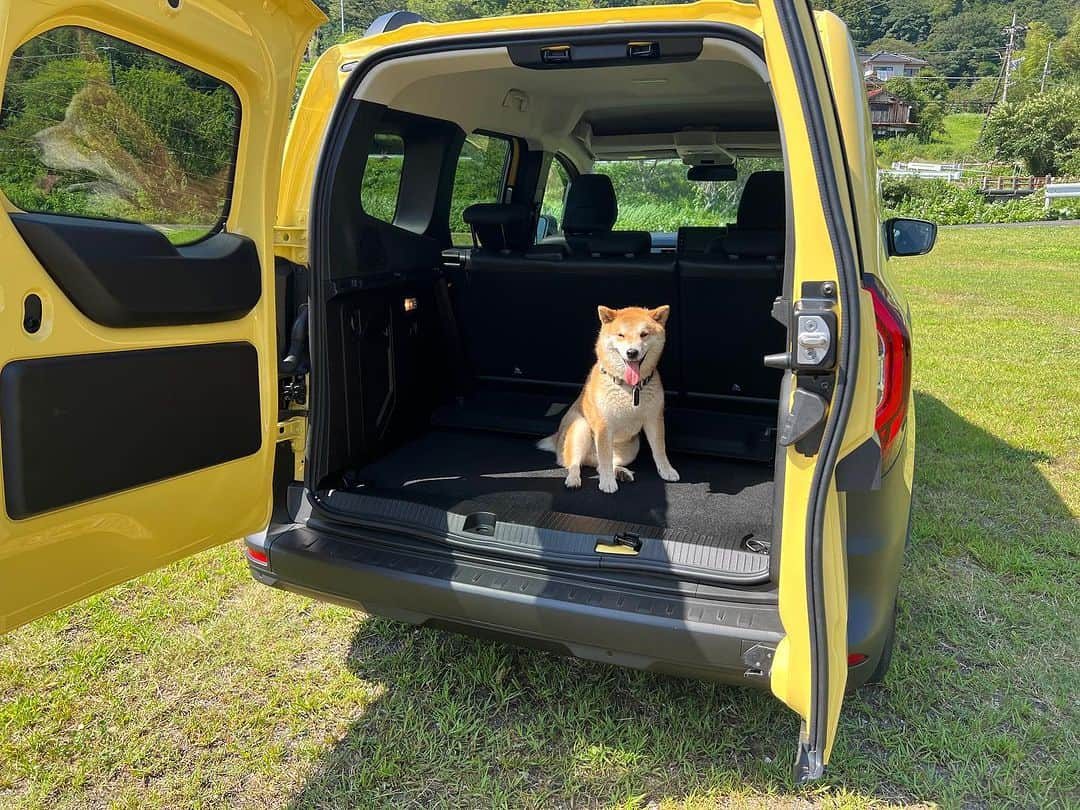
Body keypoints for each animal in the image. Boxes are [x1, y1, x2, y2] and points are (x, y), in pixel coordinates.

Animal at [537, 304, 678, 494]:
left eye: (644, 334)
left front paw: (666, 470)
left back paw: (620, 472)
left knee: (599, 464)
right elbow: (604, 457)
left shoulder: (654, 419)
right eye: (621, 335)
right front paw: (607, 482)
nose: (632, 352)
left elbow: (659, 449)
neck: (630, 388)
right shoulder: (603, 425)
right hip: (580, 428)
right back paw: (574, 479)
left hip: (631, 448)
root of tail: (557, 437)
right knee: (575, 463)